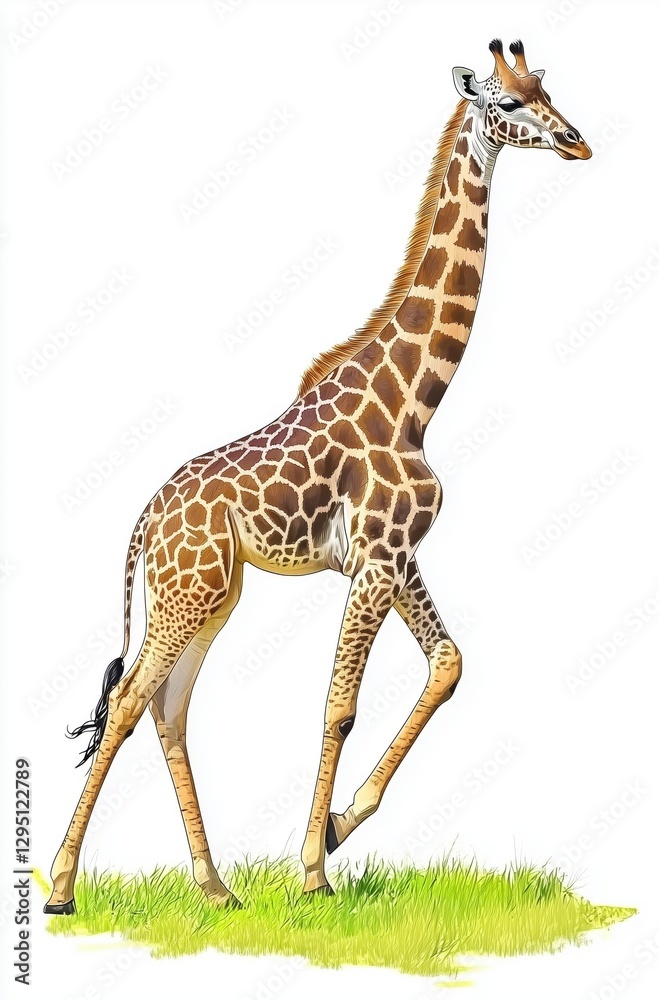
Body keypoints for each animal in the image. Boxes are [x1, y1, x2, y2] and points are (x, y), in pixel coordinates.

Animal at [45, 39, 591, 913]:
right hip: (189, 593)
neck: (415, 399)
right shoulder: (375, 559)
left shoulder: (391, 556)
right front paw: (312, 868)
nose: (577, 141)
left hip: (213, 595)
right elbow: (338, 707)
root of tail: (143, 524)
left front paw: (337, 827)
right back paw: (63, 887)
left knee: (168, 709)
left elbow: (447, 664)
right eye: (508, 105)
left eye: (546, 88)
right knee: (130, 701)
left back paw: (216, 888)